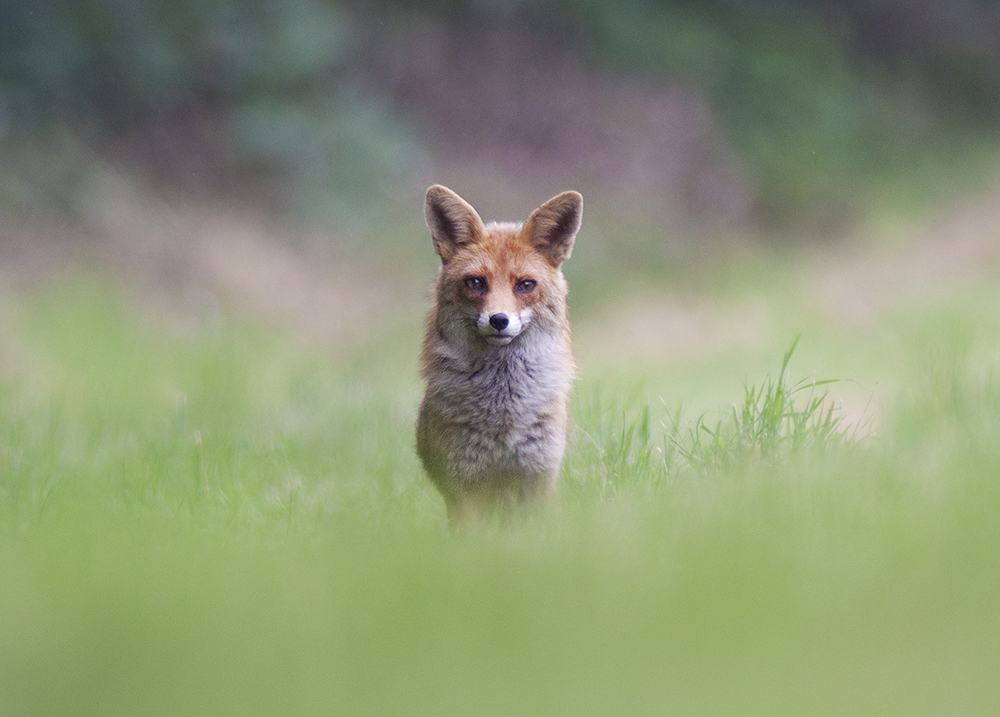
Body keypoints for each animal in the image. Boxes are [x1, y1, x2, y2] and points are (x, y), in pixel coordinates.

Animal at [416, 185, 584, 524]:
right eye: (475, 282)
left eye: (526, 285)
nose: (498, 320)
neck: (504, 412)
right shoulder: (462, 484)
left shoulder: (539, 476)